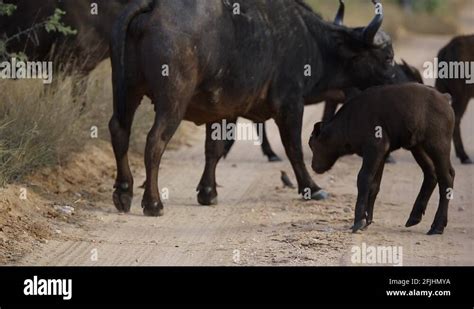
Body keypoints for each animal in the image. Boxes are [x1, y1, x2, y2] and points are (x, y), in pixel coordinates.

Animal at [110, 0, 396, 215]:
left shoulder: (221, 110)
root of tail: (153, 6)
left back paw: (123, 192)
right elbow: (295, 149)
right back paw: (153, 203)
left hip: (125, 89)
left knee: (119, 131)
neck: (312, 39)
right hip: (173, 99)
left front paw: (208, 192)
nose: (395, 80)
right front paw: (312, 188)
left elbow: (213, 150)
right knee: (155, 141)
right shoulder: (291, 103)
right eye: (387, 56)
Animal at [310, 83, 458, 235]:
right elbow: (374, 185)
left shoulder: (374, 150)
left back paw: (437, 226)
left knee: (446, 177)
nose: (314, 166)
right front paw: (367, 220)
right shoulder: (382, 154)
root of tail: (444, 98)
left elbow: (363, 179)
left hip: (437, 146)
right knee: (431, 174)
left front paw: (358, 221)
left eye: (312, 145)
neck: (349, 120)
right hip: (417, 147)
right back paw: (415, 216)